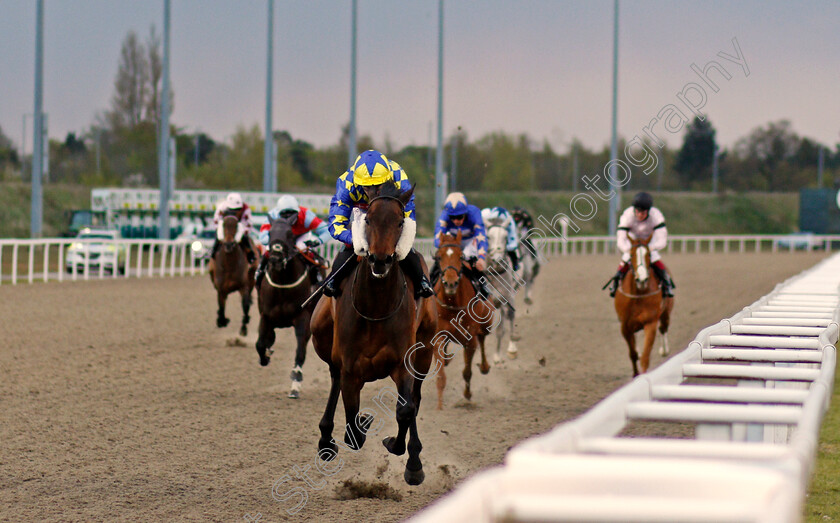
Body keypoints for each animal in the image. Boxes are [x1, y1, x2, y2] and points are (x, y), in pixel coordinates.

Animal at [253, 215, 324, 400]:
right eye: (270, 233)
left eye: (290, 234)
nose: (276, 259)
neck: (283, 284)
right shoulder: (265, 316)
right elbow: (260, 344)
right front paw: (265, 356)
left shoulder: (302, 319)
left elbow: (300, 351)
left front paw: (295, 383)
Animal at [310, 184, 440, 488]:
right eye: (367, 220)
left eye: (400, 222)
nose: (380, 260)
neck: (376, 307)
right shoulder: (349, 368)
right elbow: (353, 430)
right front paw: (359, 425)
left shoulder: (403, 363)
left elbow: (405, 410)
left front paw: (403, 453)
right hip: (321, 335)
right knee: (334, 379)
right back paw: (326, 439)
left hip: (425, 350)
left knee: (414, 400)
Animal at [434, 232, 492, 410]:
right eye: (439, 256)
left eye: (460, 257)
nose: (450, 282)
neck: (452, 303)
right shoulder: (438, 337)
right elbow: (441, 376)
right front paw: (439, 407)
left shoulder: (470, 339)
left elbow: (467, 372)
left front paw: (467, 394)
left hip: (487, 324)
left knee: (483, 339)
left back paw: (485, 367)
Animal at [612, 237, 680, 376]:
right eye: (632, 255)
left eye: (648, 254)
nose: (642, 279)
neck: (638, 294)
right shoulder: (625, 326)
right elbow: (633, 353)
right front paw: (635, 374)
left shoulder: (650, 323)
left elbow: (645, 356)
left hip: (666, 313)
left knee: (663, 328)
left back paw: (664, 350)